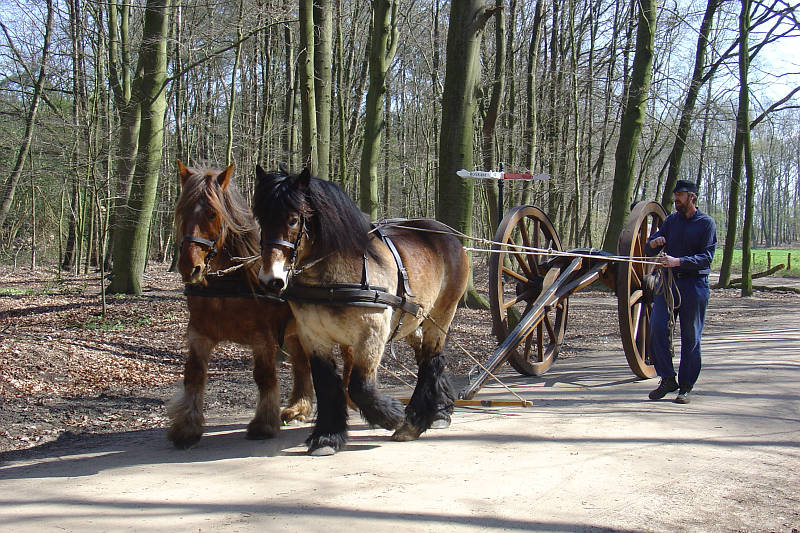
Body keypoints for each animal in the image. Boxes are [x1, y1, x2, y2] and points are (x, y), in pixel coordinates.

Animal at [167, 162, 314, 448]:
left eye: (212, 213)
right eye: (181, 211)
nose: (190, 268)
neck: (227, 283)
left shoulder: (262, 336)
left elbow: (264, 376)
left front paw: (263, 424)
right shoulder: (199, 333)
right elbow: (194, 375)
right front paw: (187, 426)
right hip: (294, 333)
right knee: (302, 364)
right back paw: (299, 407)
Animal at [253, 165, 472, 454]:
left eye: (292, 220)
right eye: (260, 219)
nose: (271, 279)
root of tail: (446, 234)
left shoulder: (371, 333)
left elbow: (359, 386)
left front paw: (391, 415)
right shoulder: (313, 335)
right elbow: (326, 382)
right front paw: (327, 436)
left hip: (441, 313)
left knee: (431, 361)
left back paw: (414, 421)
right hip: (414, 319)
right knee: (429, 357)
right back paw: (439, 411)